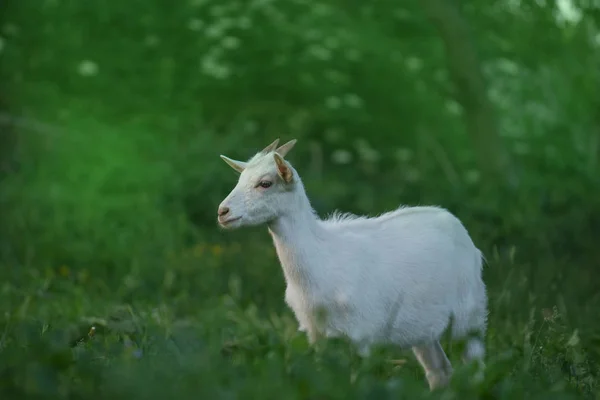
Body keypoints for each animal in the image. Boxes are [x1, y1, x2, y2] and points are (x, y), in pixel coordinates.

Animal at [217, 138, 488, 390]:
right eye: (240, 179)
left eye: (265, 183)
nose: (222, 211)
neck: (322, 255)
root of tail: (456, 225)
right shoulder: (317, 333)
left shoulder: (361, 334)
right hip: (424, 328)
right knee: (439, 371)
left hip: (470, 314)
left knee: (475, 365)